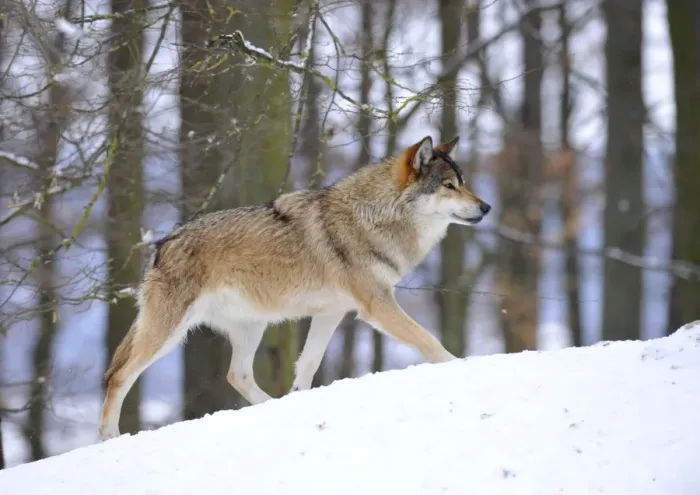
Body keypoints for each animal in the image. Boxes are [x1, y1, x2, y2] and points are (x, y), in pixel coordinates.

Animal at [99, 135, 491, 440]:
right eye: (449, 186)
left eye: (464, 182)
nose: (487, 206)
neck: (374, 217)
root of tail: (161, 244)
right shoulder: (377, 305)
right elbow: (430, 341)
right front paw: (459, 367)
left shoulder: (332, 313)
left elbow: (307, 364)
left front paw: (298, 399)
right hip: (169, 333)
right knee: (119, 375)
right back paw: (109, 436)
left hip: (250, 327)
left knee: (236, 374)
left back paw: (272, 406)